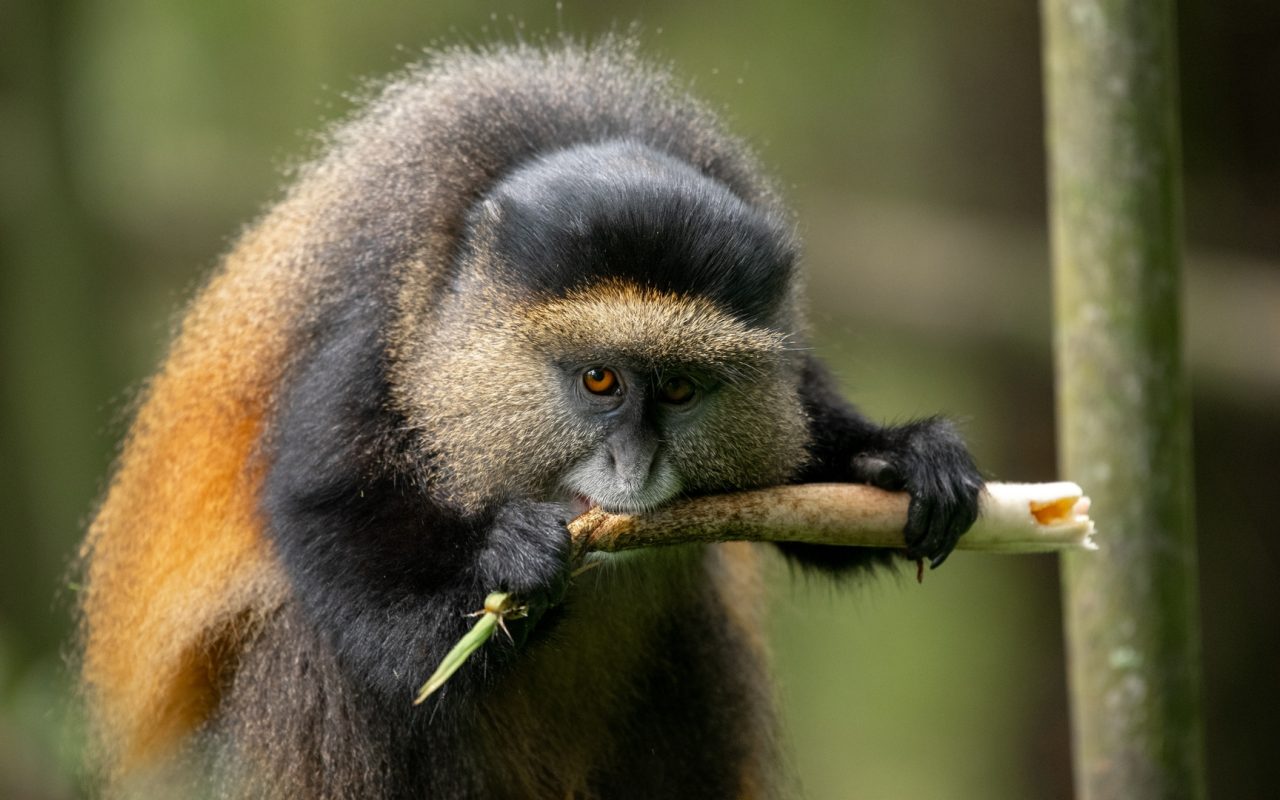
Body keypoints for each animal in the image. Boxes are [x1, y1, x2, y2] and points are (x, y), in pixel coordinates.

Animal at [77, 38, 982, 799]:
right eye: (600, 379)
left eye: (680, 391)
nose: (634, 469)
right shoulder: (372, 327)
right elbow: (328, 515)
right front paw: (507, 563)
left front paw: (905, 458)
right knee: (314, 653)